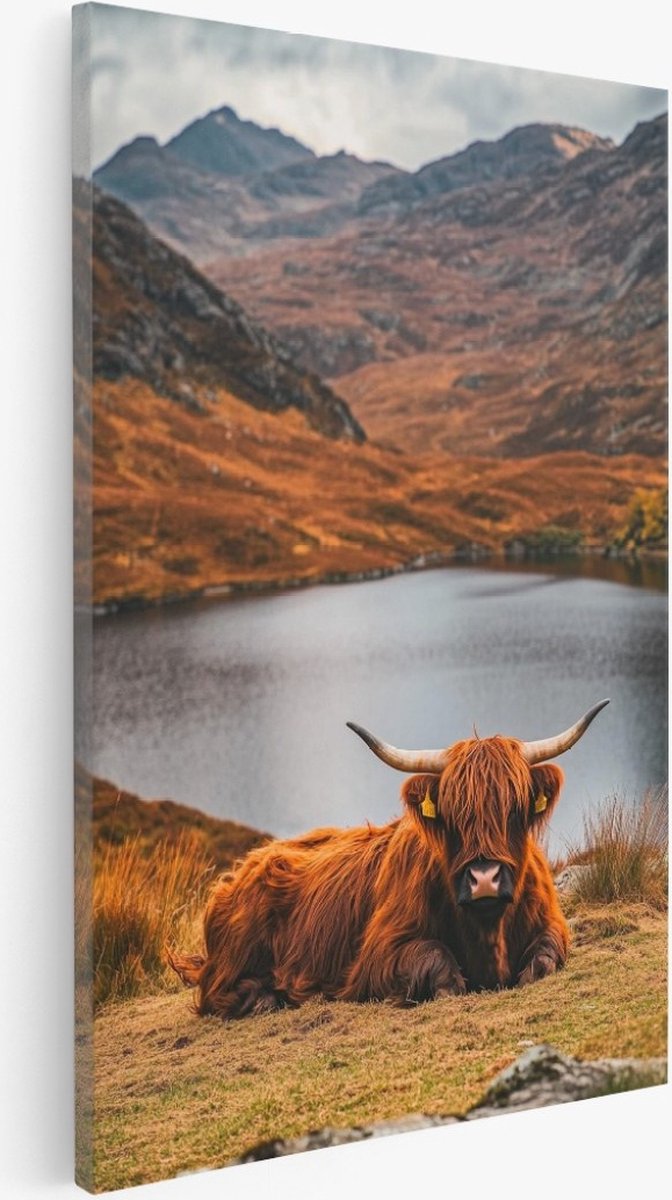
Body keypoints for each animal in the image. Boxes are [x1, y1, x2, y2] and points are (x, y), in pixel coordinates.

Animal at [169, 700, 609, 1019]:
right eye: (451, 814)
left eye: (515, 809)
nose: (484, 878)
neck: (488, 932)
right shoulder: (377, 955)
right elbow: (434, 956)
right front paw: (449, 986)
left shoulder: (551, 924)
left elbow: (544, 958)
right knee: (216, 990)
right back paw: (265, 997)